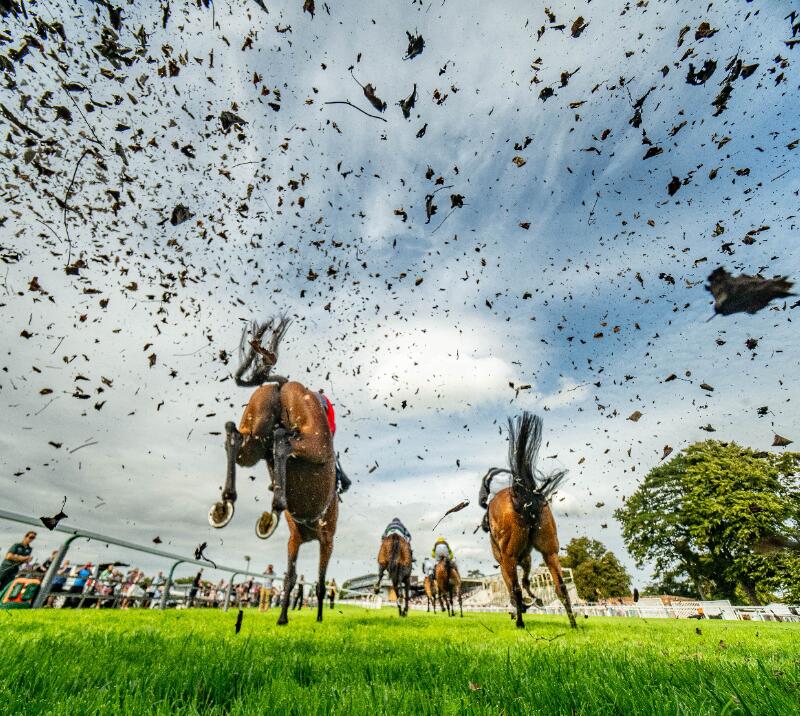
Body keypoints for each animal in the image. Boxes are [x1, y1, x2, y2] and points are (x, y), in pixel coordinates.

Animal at [207, 317, 338, 626]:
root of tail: (286, 383)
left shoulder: (296, 540)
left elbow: (292, 577)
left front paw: (284, 617)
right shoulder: (324, 540)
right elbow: (317, 581)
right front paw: (314, 617)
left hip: (256, 429)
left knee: (235, 434)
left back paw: (226, 504)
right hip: (314, 443)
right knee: (281, 440)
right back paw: (273, 507)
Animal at [479, 412, 577, 630]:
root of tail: (524, 496)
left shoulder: (507, 560)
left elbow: (514, 586)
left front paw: (521, 606)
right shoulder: (526, 559)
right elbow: (527, 580)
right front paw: (533, 600)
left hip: (509, 556)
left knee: (515, 588)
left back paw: (520, 622)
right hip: (550, 551)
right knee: (561, 586)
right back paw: (574, 624)